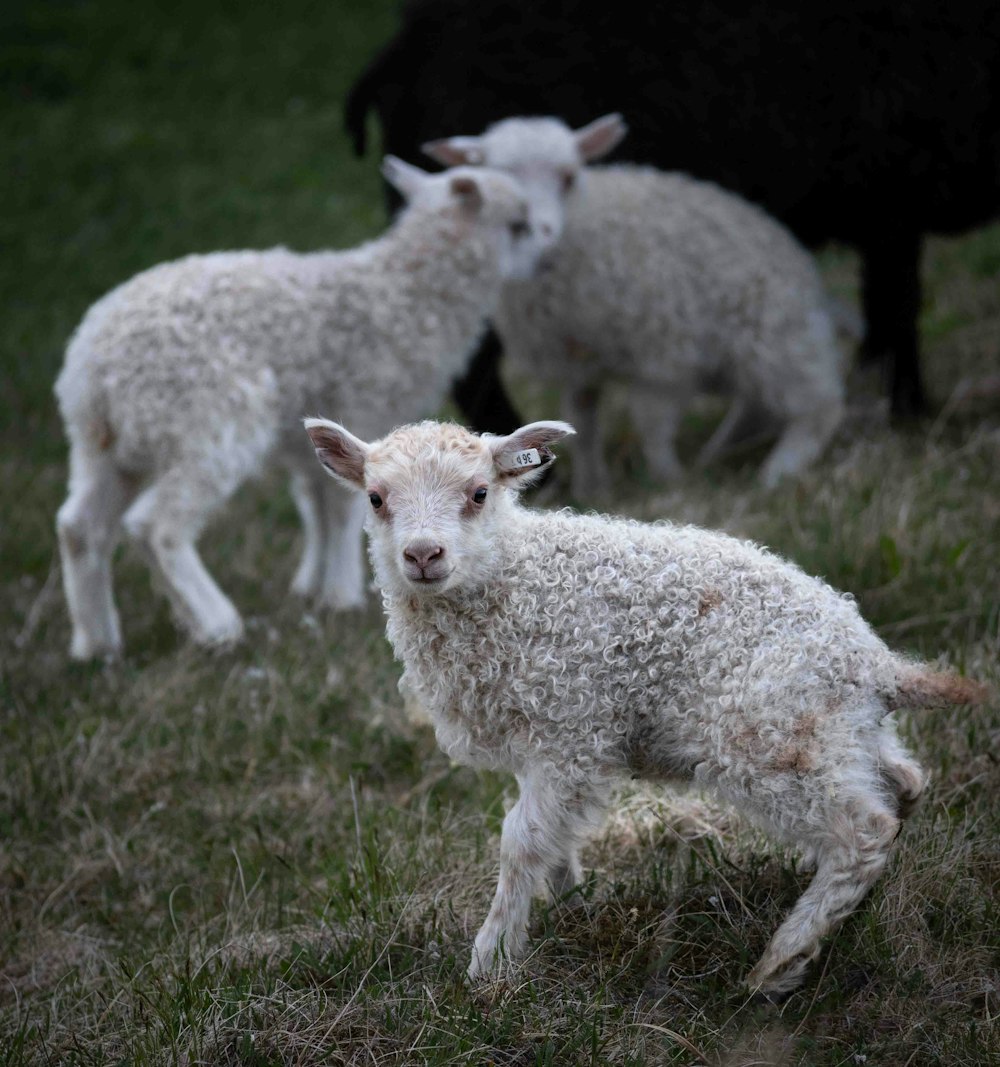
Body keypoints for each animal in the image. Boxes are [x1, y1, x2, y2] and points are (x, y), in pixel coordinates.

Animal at [303, 411, 981, 994]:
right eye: (375, 498)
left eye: (478, 493)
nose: (423, 555)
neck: (516, 581)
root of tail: (873, 661)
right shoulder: (545, 739)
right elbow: (550, 837)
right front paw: (568, 906)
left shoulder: (570, 726)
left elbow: (520, 840)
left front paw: (489, 963)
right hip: (833, 735)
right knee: (904, 781)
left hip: (770, 738)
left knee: (864, 830)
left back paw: (779, 964)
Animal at [424, 112, 845, 495]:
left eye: (569, 177)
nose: (538, 231)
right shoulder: (577, 361)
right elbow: (582, 424)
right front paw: (592, 489)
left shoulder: (661, 354)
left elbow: (651, 425)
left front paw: (669, 482)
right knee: (757, 407)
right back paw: (719, 454)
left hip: (772, 333)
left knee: (818, 403)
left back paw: (778, 470)